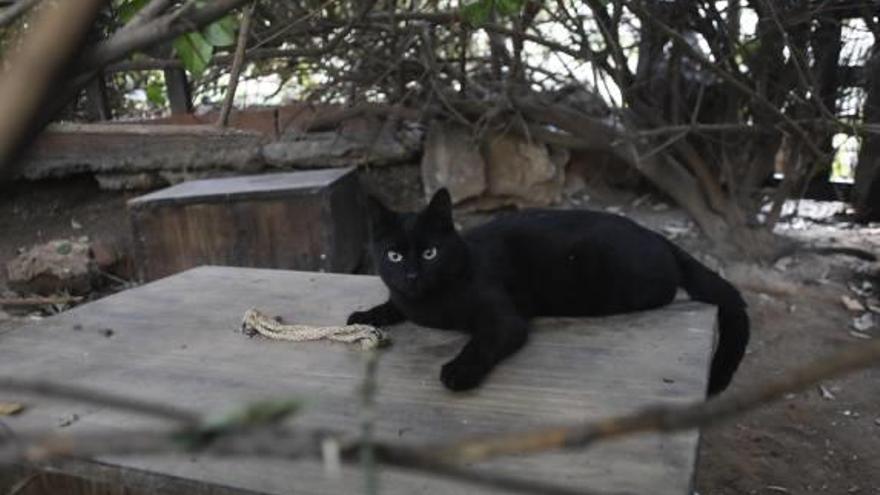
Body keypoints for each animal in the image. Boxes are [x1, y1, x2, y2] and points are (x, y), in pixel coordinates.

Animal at [350, 188, 748, 398]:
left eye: (430, 252)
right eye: (394, 256)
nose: (412, 274)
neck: (429, 302)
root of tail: (659, 237)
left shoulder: (504, 319)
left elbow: (481, 343)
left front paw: (459, 372)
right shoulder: (404, 298)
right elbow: (393, 304)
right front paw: (364, 315)